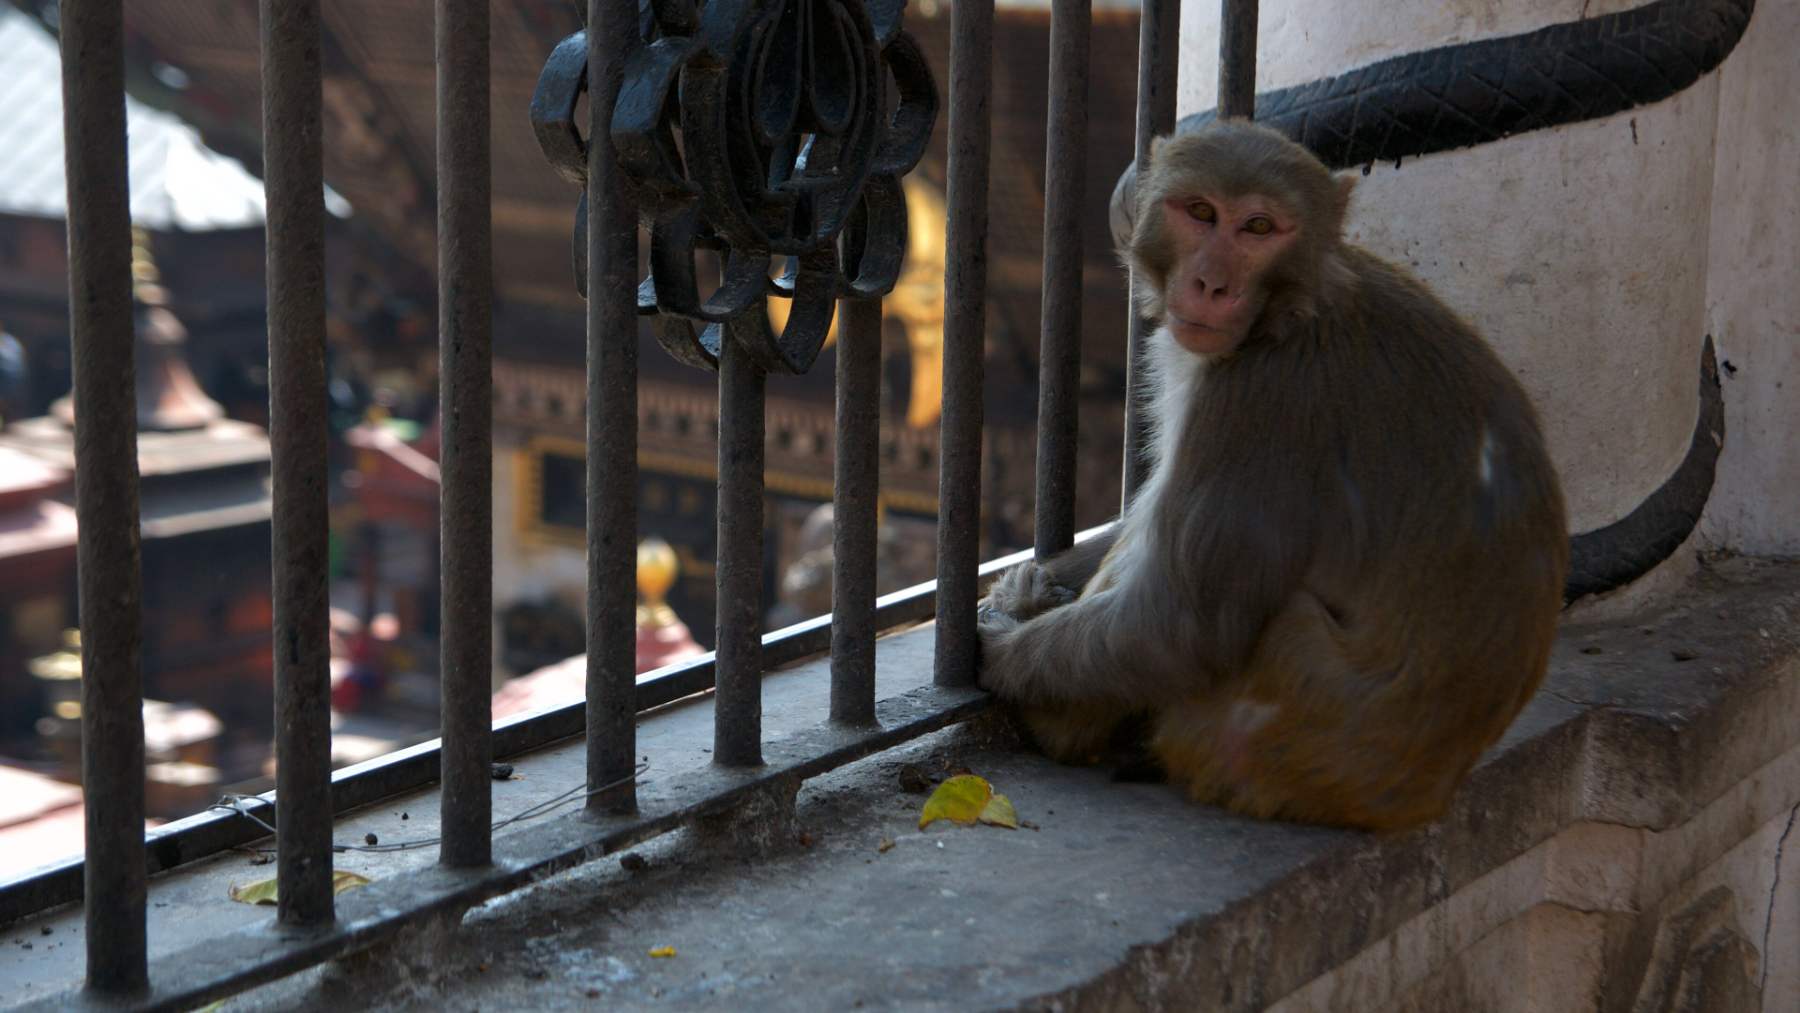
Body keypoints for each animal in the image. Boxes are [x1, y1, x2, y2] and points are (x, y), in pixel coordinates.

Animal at [976, 120, 1569, 832]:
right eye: (1201, 212)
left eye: (1259, 227)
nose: (1212, 285)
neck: (1291, 308)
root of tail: (1421, 798)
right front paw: (1030, 584)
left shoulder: (1261, 395)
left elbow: (1180, 628)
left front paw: (1001, 644)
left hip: (1275, 723)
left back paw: (1063, 728)